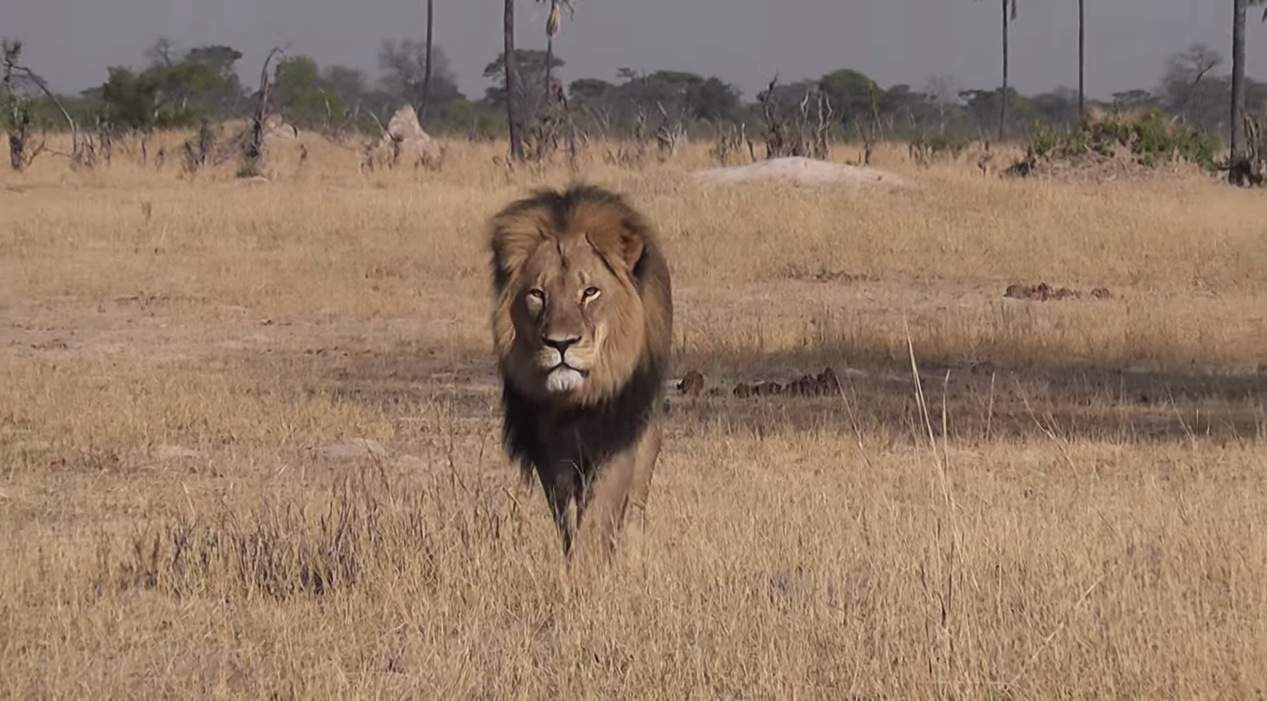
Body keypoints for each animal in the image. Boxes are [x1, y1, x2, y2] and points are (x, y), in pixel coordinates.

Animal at [487, 184, 673, 560]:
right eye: (537, 294)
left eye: (590, 292)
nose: (561, 343)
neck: (577, 402)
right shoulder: (552, 450)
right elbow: (569, 515)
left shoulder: (618, 437)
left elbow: (601, 511)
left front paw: (591, 562)